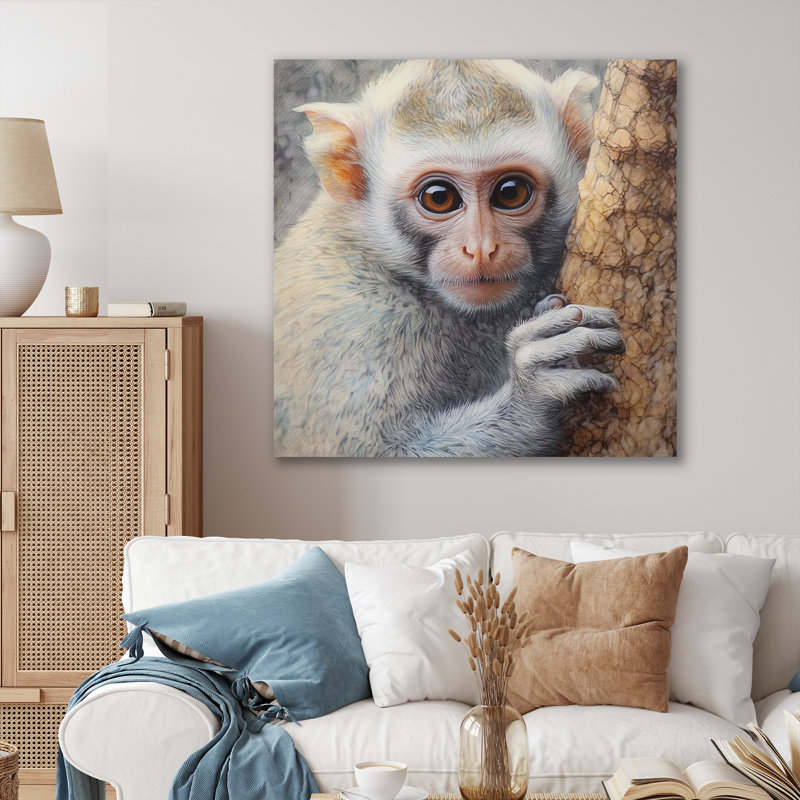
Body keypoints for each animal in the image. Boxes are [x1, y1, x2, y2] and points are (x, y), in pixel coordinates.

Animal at [274, 59, 625, 457]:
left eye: (511, 192)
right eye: (439, 198)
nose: (481, 248)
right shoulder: (355, 318)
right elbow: (371, 451)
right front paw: (532, 394)